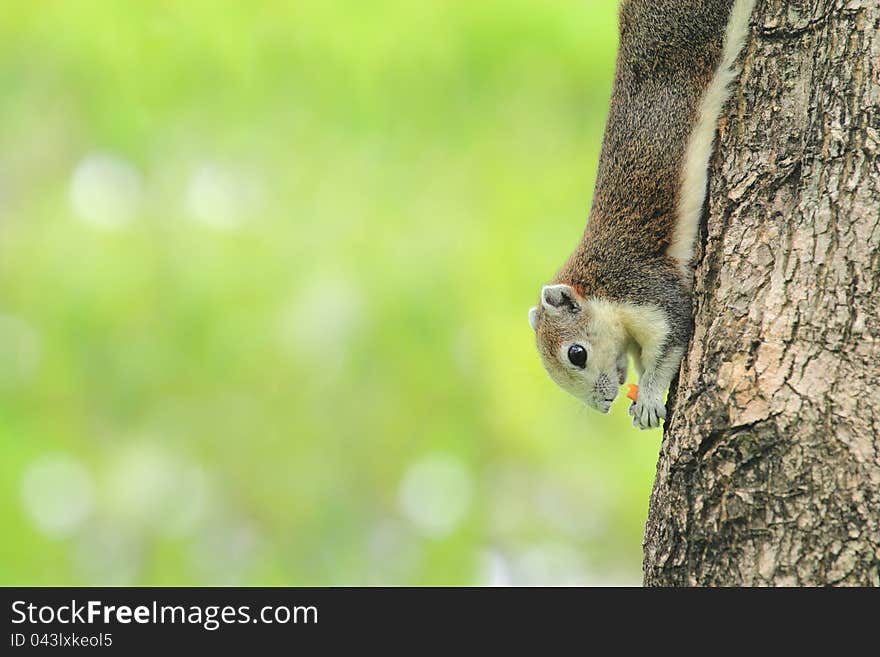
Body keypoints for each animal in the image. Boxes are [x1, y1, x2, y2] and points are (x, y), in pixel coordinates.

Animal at [524, 0, 752, 428]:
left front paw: (647, 398)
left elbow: (672, 339)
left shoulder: (645, 289)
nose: (604, 403)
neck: (598, 286)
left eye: (576, 354)